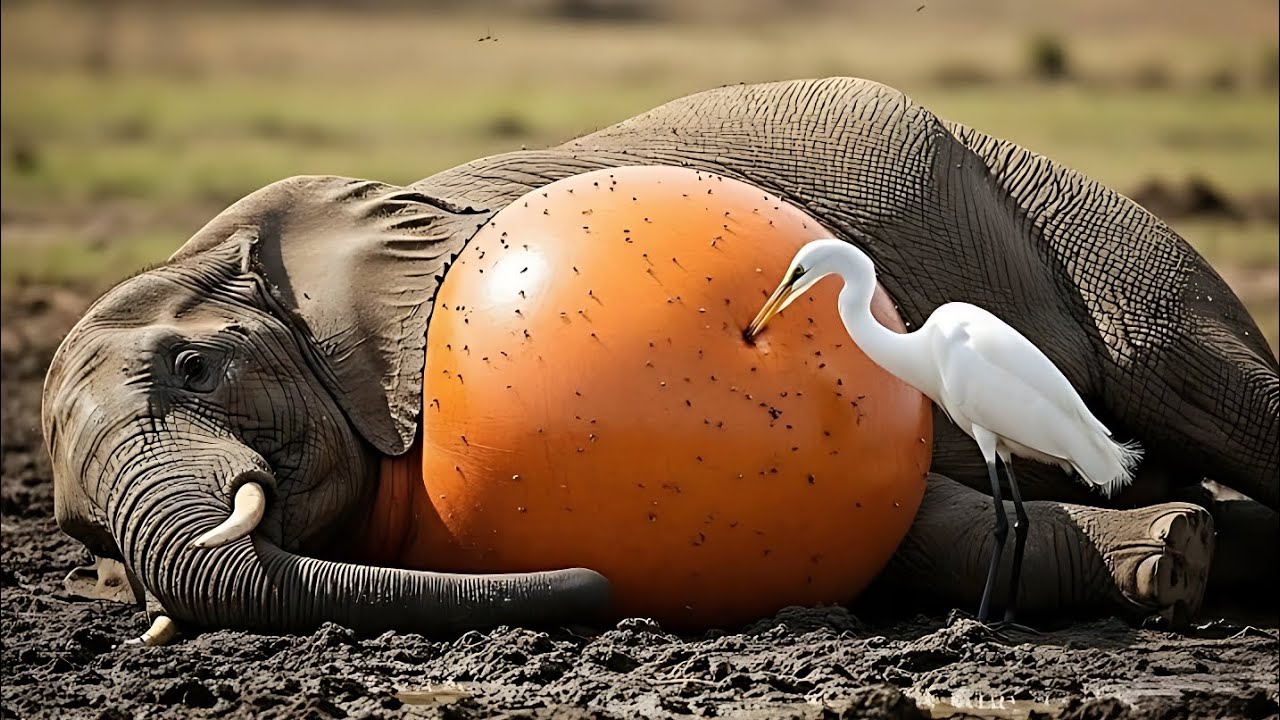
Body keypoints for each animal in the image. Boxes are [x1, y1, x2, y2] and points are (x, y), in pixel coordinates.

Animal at [43, 77, 1278, 642]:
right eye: (79, 536)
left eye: (193, 371)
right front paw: (1182, 552)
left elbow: (916, 519)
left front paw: (1170, 559)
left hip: (1065, 216)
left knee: (1194, 378)